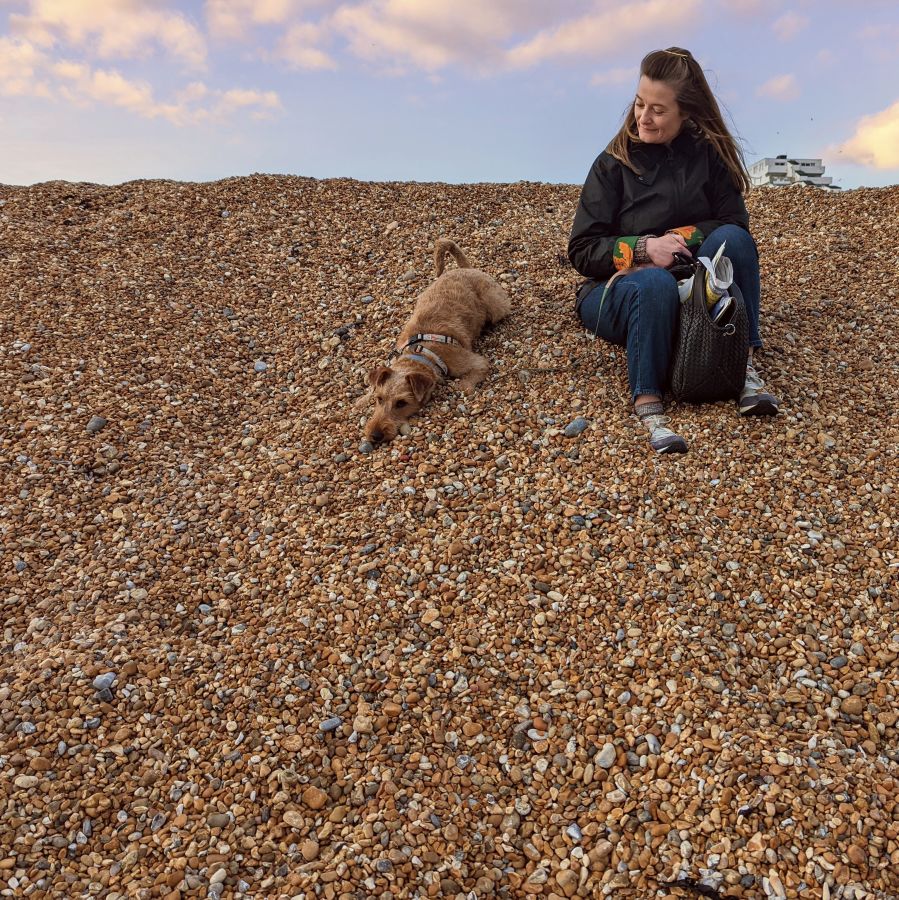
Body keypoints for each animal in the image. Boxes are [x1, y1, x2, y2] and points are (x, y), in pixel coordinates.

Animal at [362, 237, 510, 444]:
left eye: (401, 403)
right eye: (379, 399)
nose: (374, 436)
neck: (421, 353)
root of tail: (466, 268)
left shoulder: (474, 361)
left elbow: (469, 380)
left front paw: (463, 386)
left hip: (495, 304)